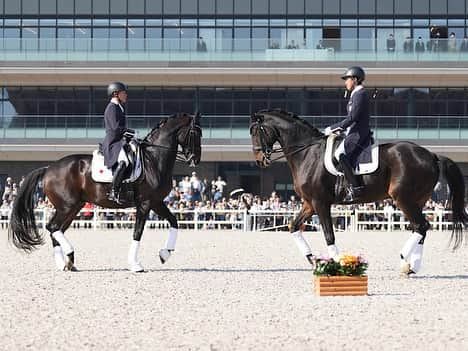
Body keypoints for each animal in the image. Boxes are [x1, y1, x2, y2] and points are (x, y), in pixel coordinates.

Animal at [9, 113, 202, 272]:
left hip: (73, 208)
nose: (195, 160)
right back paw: (69, 256)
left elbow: (174, 221)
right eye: (195, 133)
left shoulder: (156, 202)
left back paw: (65, 263)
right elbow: (137, 232)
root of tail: (48, 168)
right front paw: (135, 264)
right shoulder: (145, 203)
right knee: (52, 227)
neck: (153, 160)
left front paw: (165, 253)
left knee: (56, 230)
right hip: (66, 207)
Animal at [250, 108, 466, 276]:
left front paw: (338, 265)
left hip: (403, 199)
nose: (260, 160)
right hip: (416, 200)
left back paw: (405, 258)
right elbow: (293, 226)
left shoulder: (320, 203)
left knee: (421, 226)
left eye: (256, 132)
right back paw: (411, 267)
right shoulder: (309, 204)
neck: (307, 153)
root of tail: (431, 155)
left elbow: (329, 235)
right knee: (420, 228)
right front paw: (312, 259)